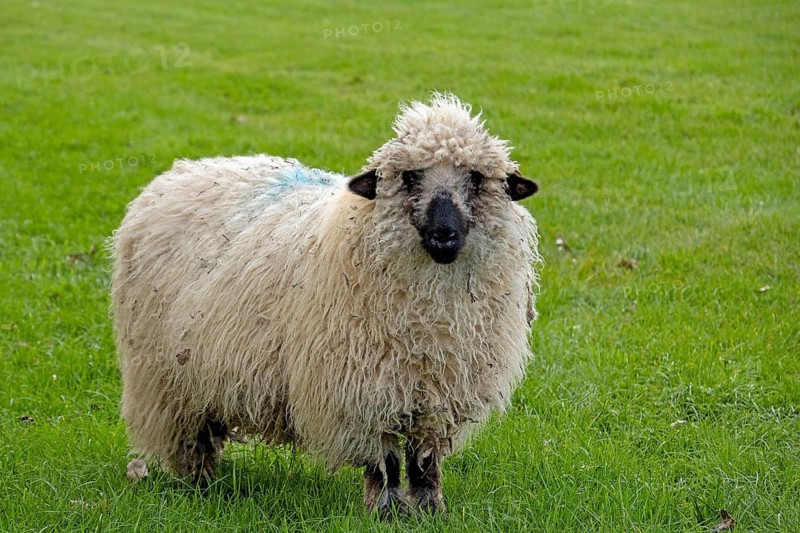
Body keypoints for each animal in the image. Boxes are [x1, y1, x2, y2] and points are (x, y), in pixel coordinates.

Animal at [110, 94, 541, 517]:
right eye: (409, 177)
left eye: (476, 178)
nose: (444, 234)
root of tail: (183, 170)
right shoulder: (360, 391)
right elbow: (385, 462)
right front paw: (385, 513)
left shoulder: (439, 391)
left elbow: (424, 461)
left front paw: (431, 511)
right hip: (166, 376)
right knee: (190, 438)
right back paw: (199, 486)